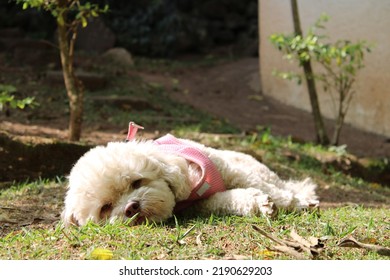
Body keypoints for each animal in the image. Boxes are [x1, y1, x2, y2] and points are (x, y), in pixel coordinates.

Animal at [62, 123, 318, 226]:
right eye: (105, 208)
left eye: (136, 182)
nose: (131, 207)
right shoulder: (203, 203)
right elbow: (229, 200)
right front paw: (260, 204)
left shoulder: (228, 169)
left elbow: (264, 189)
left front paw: (293, 203)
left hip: (256, 168)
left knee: (279, 185)